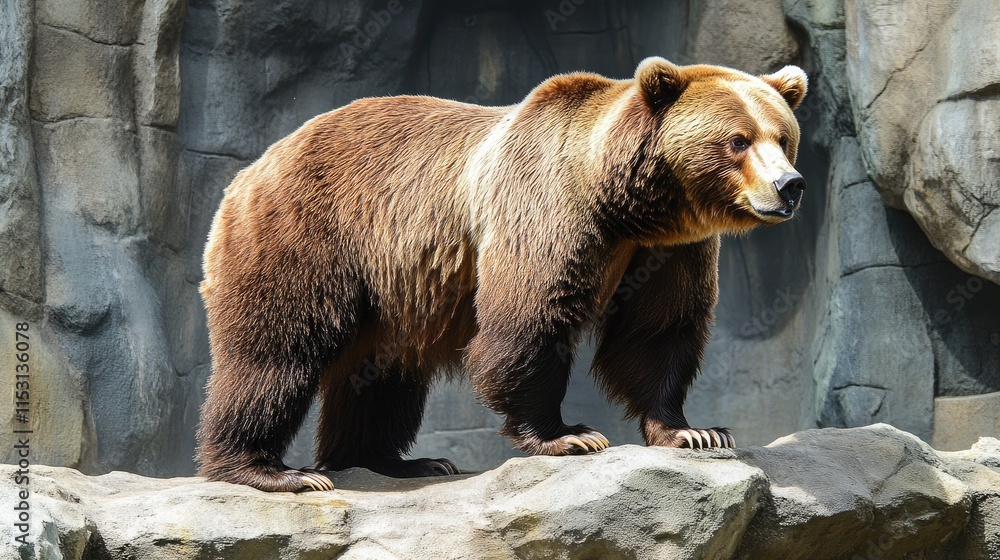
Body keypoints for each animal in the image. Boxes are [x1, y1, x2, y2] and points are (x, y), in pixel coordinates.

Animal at [196, 57, 808, 492]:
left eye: (782, 136)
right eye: (738, 140)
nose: (790, 186)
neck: (627, 206)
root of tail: (253, 169)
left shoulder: (668, 251)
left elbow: (657, 331)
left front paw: (695, 430)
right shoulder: (546, 207)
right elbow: (531, 318)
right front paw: (568, 436)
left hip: (391, 289)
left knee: (382, 372)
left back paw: (400, 462)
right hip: (308, 236)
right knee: (276, 349)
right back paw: (272, 471)